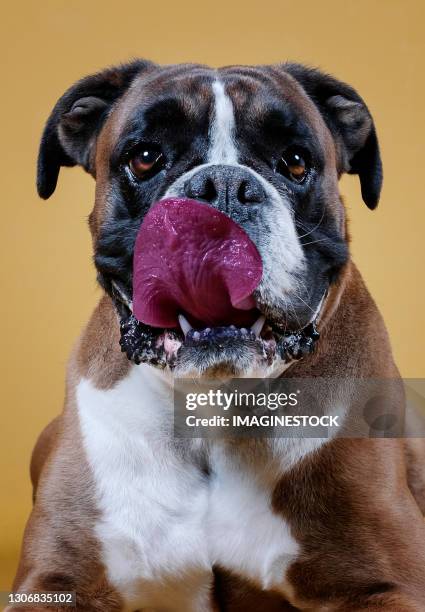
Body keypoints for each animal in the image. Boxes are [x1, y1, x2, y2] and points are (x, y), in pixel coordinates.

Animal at [9, 61, 424, 608]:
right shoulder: (54, 580)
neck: (211, 402)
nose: (223, 186)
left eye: (295, 162)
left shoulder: (387, 585)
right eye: (145, 158)